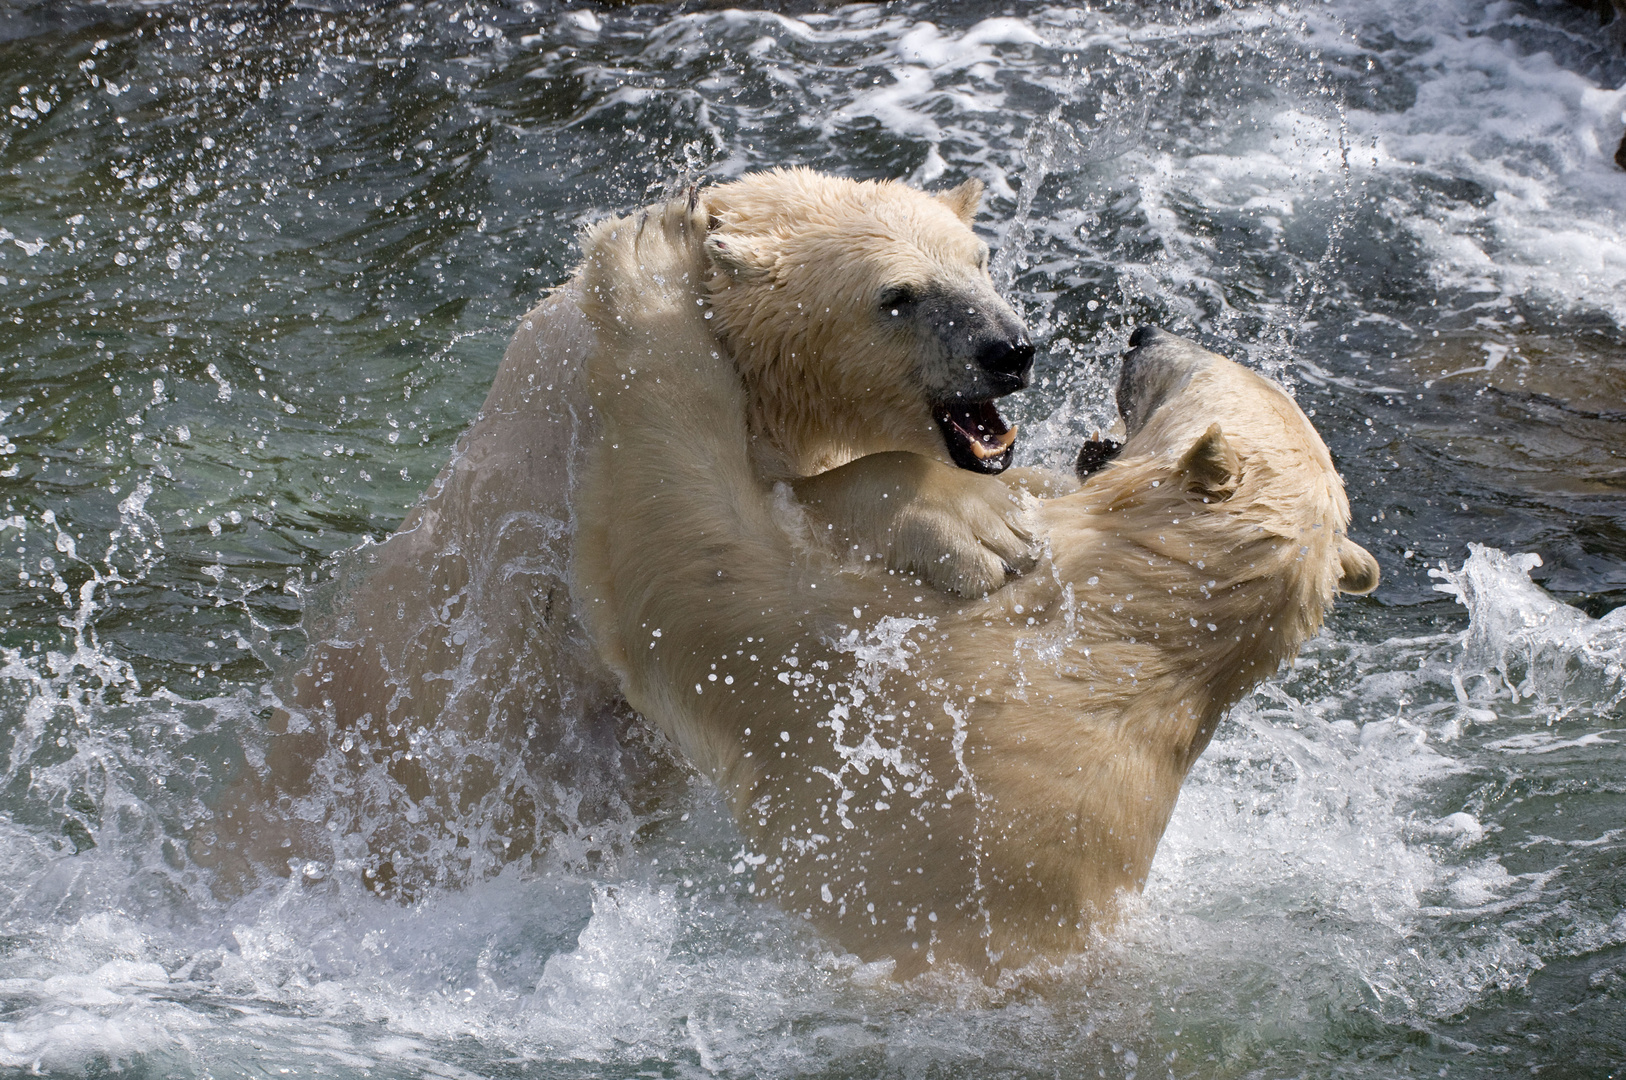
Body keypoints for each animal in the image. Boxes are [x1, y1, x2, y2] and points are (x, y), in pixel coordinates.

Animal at [199, 169, 1040, 891]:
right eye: (897, 296)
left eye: (979, 261)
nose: (1010, 350)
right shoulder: (578, 483)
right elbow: (718, 551)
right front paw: (980, 528)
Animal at [578, 195, 1378, 975]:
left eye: (1198, 369)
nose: (1143, 333)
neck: (1142, 604)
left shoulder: (878, 672)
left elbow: (700, 569)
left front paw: (649, 254)